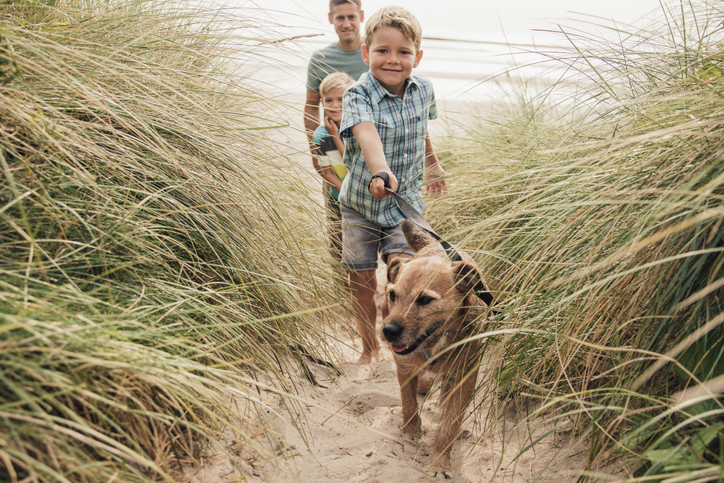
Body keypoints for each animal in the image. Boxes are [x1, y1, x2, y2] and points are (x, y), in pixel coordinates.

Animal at [382, 221, 490, 478]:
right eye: (392, 295)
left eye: (424, 300)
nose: (388, 331)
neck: (434, 342)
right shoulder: (404, 366)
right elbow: (408, 402)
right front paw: (411, 431)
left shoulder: (464, 380)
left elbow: (450, 425)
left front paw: (439, 462)